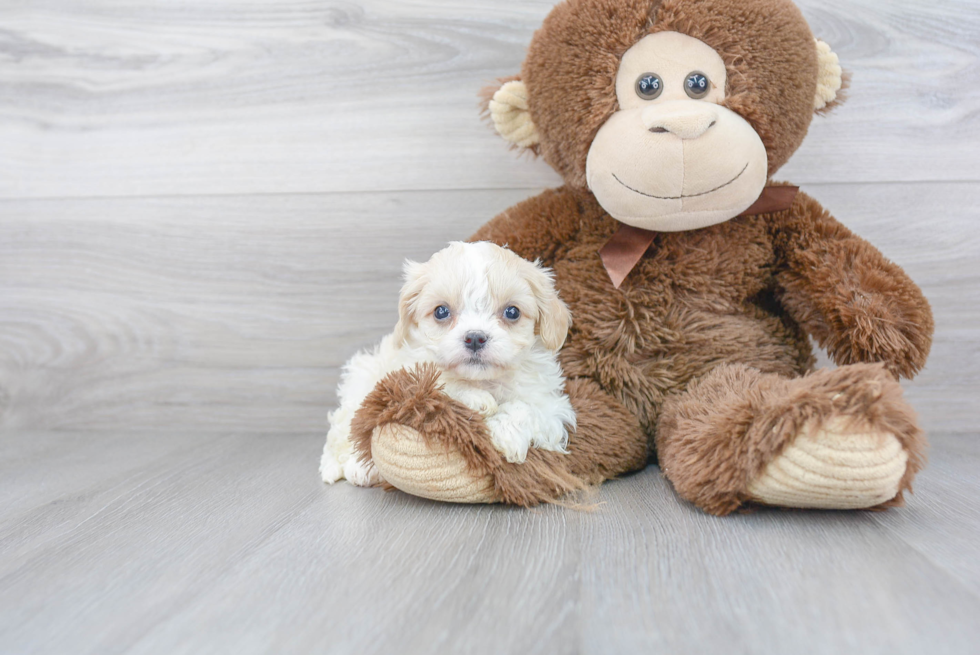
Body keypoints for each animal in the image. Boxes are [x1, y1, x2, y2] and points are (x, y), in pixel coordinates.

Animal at [324, 241, 576, 486]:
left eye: (512, 312)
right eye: (441, 311)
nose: (475, 337)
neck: (482, 380)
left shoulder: (552, 408)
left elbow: (527, 408)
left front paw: (508, 435)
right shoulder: (404, 380)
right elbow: (439, 386)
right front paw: (476, 400)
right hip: (361, 381)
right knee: (345, 427)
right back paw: (351, 468)